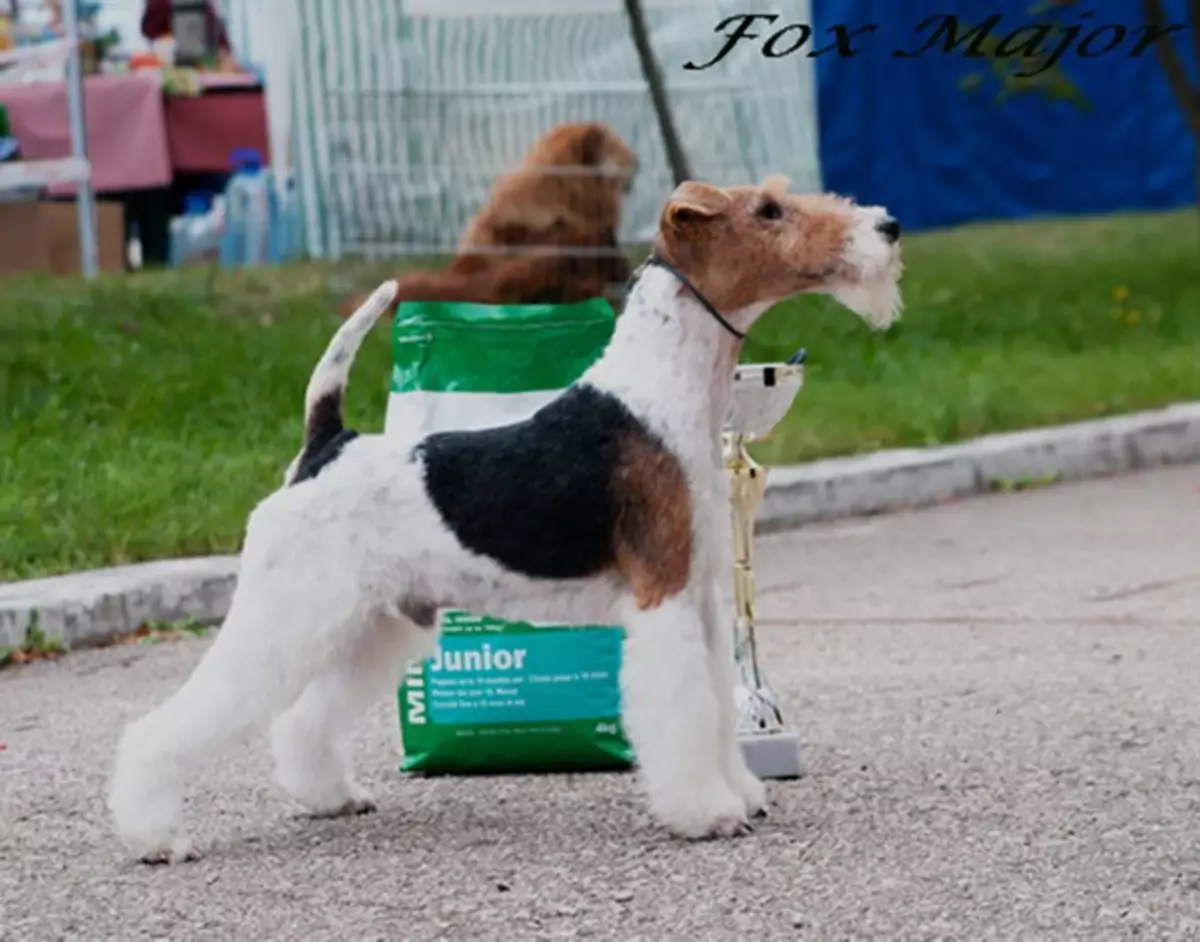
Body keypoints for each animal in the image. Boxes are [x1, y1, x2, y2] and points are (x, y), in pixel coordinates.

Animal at [110, 172, 902, 864]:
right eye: (769, 210)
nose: (888, 227)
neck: (663, 395)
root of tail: (325, 444)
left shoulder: (699, 598)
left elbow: (715, 704)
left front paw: (741, 791)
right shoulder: (665, 599)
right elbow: (684, 711)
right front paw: (706, 812)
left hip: (380, 620)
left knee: (304, 718)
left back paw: (330, 796)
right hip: (288, 612)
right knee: (168, 725)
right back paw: (156, 835)